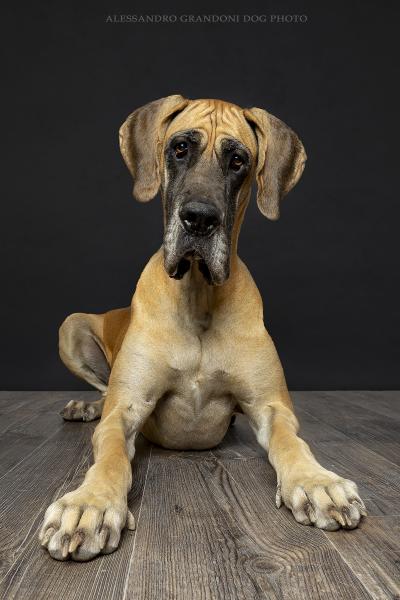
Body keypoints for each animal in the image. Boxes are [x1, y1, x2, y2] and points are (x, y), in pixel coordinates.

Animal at [39, 95, 368, 564]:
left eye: (238, 160)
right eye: (180, 148)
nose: (198, 219)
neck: (197, 295)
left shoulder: (271, 407)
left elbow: (291, 441)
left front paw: (317, 481)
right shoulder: (126, 409)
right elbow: (112, 451)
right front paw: (90, 503)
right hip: (72, 327)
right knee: (102, 395)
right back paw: (86, 407)